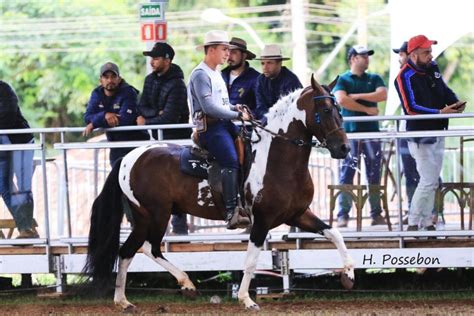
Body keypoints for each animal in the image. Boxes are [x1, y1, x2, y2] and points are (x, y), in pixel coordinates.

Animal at [83, 76, 354, 312]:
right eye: (326, 110)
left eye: (339, 109)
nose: (344, 148)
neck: (278, 159)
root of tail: (129, 157)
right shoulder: (262, 220)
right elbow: (251, 261)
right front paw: (246, 299)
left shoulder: (298, 214)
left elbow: (335, 233)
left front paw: (349, 275)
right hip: (154, 214)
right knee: (149, 248)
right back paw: (185, 284)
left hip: (144, 217)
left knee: (128, 251)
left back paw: (124, 301)